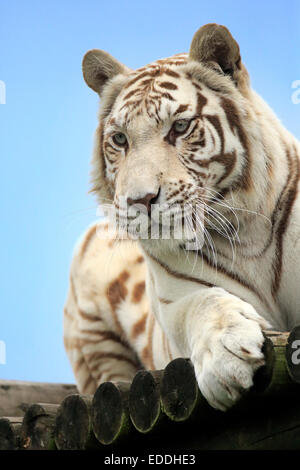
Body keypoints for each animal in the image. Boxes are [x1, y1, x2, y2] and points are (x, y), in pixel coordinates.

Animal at [64, 23, 300, 410]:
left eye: (179, 127)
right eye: (120, 139)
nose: (140, 200)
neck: (246, 232)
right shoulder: (175, 299)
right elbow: (204, 303)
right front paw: (226, 357)